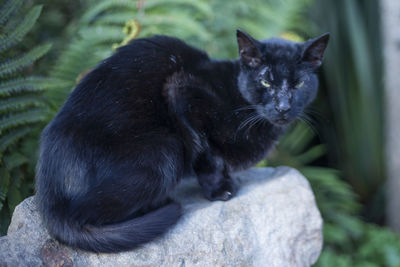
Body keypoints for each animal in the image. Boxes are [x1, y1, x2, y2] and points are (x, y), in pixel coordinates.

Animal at [35, 28, 328, 253]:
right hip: (164, 150)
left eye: (299, 84)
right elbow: (208, 154)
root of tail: (48, 195)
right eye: (266, 82)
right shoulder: (180, 91)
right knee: (85, 213)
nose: (283, 107)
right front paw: (220, 189)